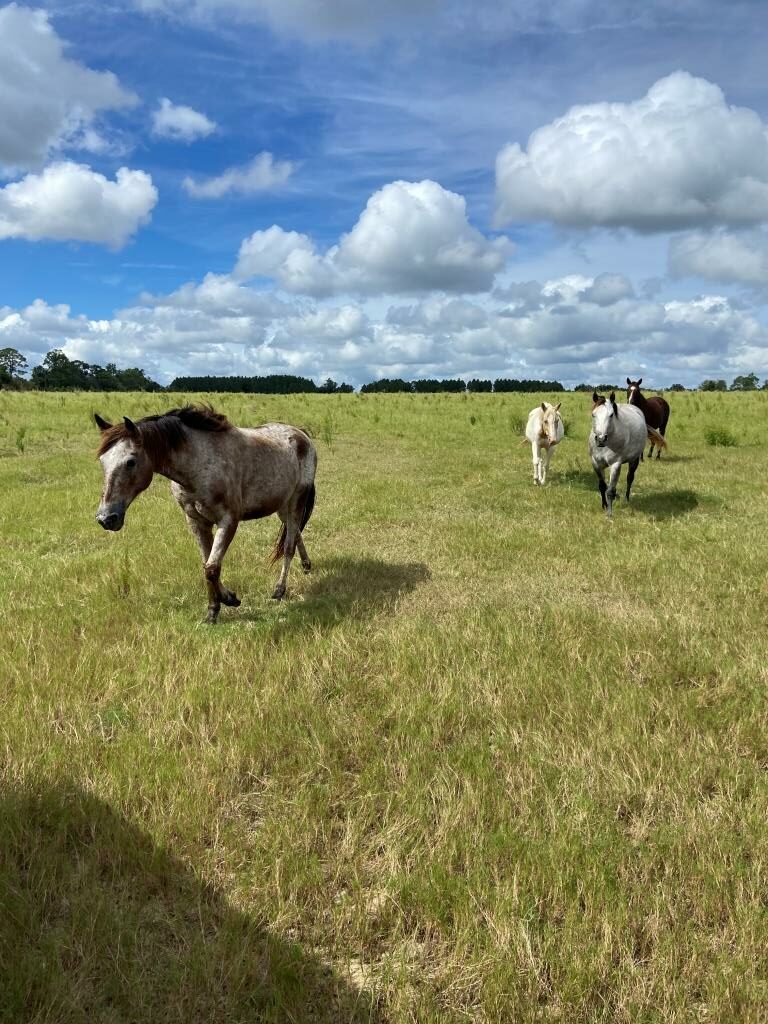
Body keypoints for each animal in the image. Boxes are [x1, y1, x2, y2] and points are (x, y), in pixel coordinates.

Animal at [94, 403, 317, 618]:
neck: (199, 464)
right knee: (295, 532)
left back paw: (279, 590)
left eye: (130, 462)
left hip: (297, 500)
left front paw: (215, 609)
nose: (106, 518)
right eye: (102, 461)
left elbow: (212, 567)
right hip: (282, 505)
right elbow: (207, 563)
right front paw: (224, 600)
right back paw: (306, 565)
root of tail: (301, 434)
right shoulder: (196, 521)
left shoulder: (228, 521)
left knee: (289, 545)